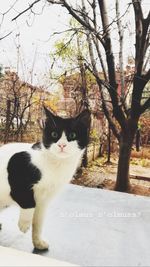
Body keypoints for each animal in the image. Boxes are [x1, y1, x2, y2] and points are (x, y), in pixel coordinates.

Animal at [0, 107, 91, 251]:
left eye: (72, 135)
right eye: (54, 134)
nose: (62, 145)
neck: (55, 165)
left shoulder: (44, 200)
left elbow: (38, 222)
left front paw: (38, 242)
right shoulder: (17, 165)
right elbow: (28, 201)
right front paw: (24, 224)